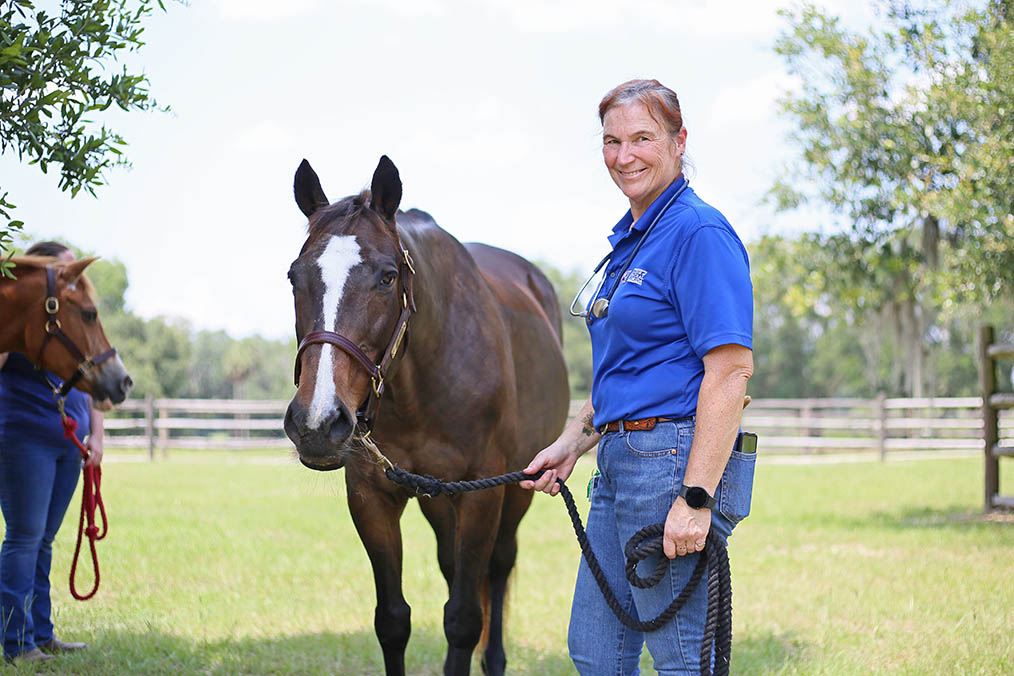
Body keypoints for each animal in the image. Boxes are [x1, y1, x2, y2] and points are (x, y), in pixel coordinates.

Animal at [285, 159, 571, 676]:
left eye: (387, 277)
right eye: (295, 277)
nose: (316, 423)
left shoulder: (482, 494)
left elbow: (463, 619)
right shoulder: (372, 496)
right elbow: (393, 620)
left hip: (517, 489)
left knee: (498, 569)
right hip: (439, 501)